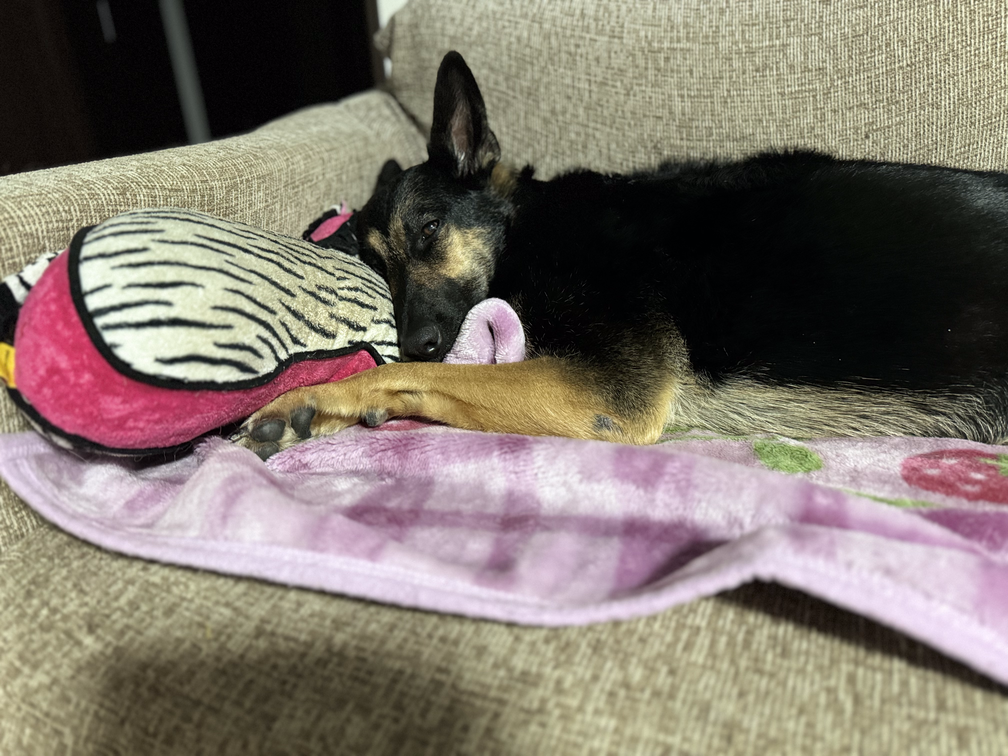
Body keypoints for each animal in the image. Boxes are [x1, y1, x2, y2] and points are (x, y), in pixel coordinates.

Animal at [236, 50, 1008, 460]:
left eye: (427, 229)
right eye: (376, 266)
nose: (420, 339)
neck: (529, 224)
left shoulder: (606, 394)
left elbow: (405, 377)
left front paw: (311, 397)